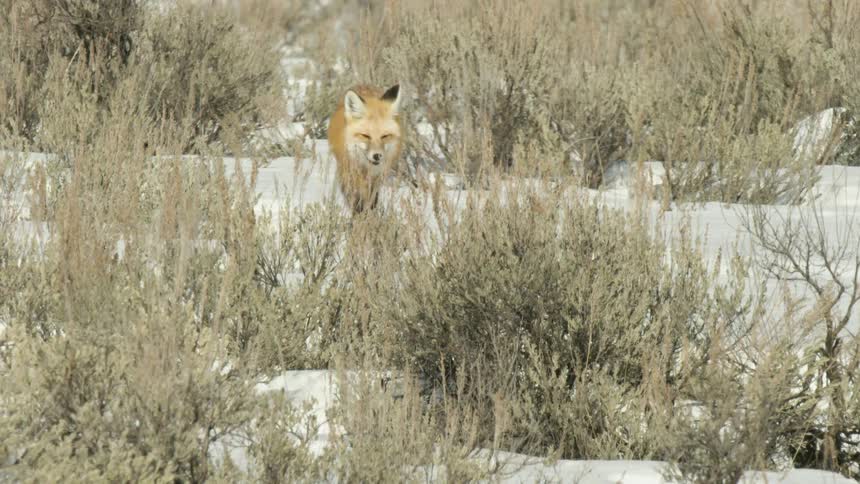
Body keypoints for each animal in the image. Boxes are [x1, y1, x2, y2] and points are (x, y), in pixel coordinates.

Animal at [327, 83, 404, 214]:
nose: (377, 156)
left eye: (385, 136)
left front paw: (370, 215)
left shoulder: (377, 177)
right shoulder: (350, 172)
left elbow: (372, 200)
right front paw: (359, 215)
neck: (366, 168)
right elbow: (357, 199)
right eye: (366, 136)